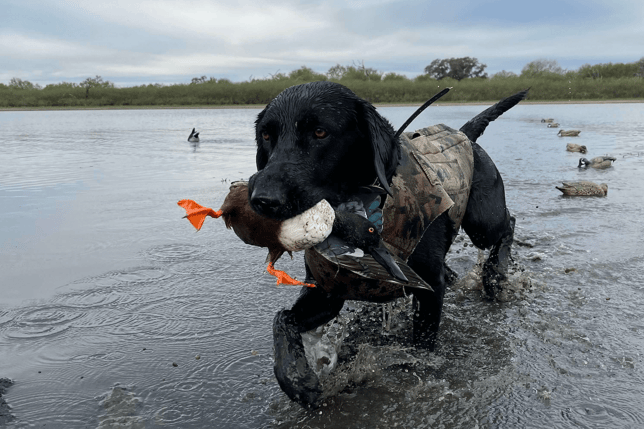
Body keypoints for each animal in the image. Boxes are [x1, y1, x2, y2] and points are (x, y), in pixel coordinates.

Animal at [249, 81, 524, 404]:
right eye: (267, 135)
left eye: (320, 132)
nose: (263, 199)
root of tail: (463, 133)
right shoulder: (328, 292)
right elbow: (282, 319)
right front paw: (297, 378)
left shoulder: (430, 288)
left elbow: (422, 345)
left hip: (483, 220)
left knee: (508, 224)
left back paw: (495, 274)